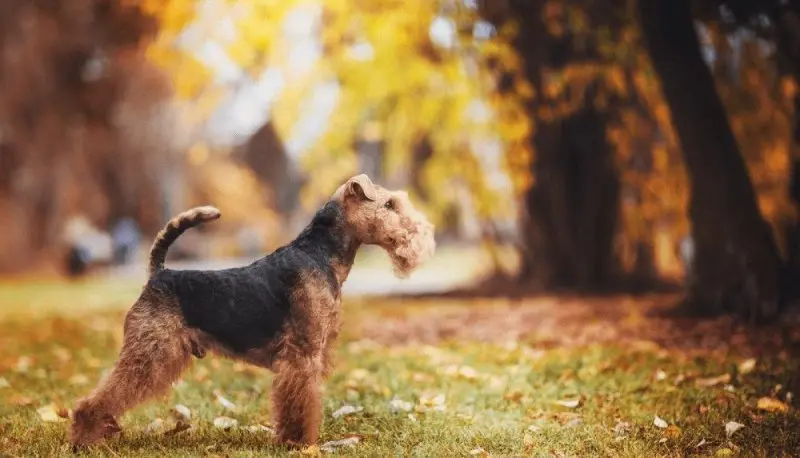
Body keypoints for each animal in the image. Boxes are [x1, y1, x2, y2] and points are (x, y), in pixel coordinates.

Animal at [67, 175, 438, 450]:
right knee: (101, 395)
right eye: (389, 204)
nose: (424, 236)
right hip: (150, 351)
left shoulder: (312, 353)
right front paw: (299, 443)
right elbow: (300, 402)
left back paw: (104, 431)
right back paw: (85, 438)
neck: (319, 255)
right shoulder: (301, 354)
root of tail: (158, 273)